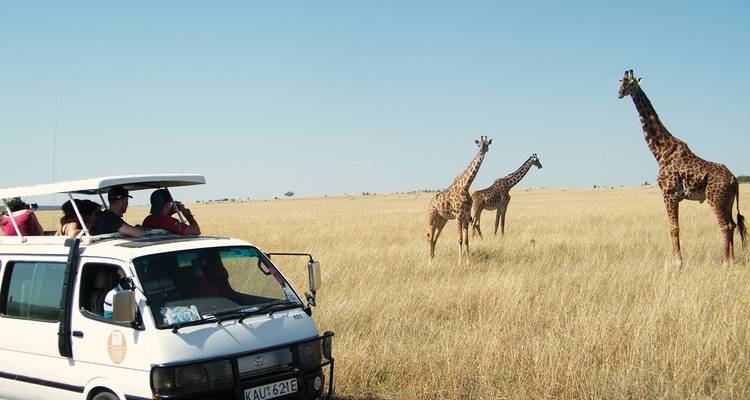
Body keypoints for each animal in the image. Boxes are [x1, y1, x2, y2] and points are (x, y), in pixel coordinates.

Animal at [618, 69, 746, 267]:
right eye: (620, 82)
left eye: (631, 83)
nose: (619, 93)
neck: (660, 151)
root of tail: (734, 180)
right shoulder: (673, 196)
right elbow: (673, 227)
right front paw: (677, 260)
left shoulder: (669, 193)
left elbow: (674, 228)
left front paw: (678, 262)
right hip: (727, 200)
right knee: (732, 224)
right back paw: (731, 260)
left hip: (715, 199)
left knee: (724, 225)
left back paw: (725, 262)